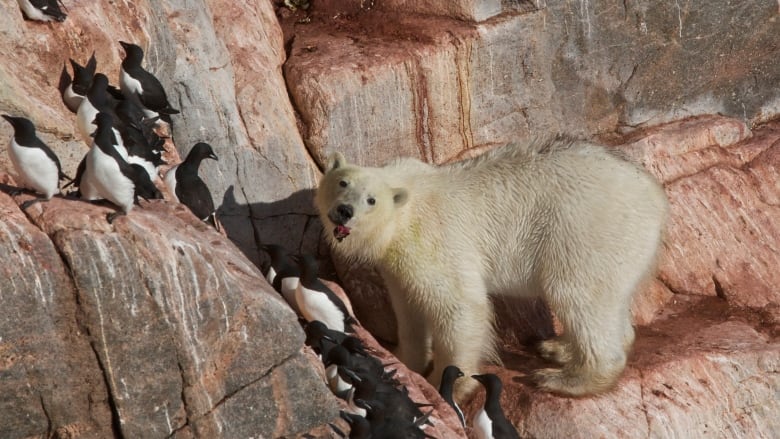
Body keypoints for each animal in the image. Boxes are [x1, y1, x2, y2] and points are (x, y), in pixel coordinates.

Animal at [314, 138, 668, 402]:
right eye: (342, 182)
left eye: (371, 200)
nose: (344, 211)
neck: (406, 202)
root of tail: (655, 195)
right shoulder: (396, 263)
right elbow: (408, 308)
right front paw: (404, 357)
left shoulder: (435, 237)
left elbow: (459, 306)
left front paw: (448, 385)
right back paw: (559, 349)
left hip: (586, 228)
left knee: (577, 293)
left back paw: (565, 379)